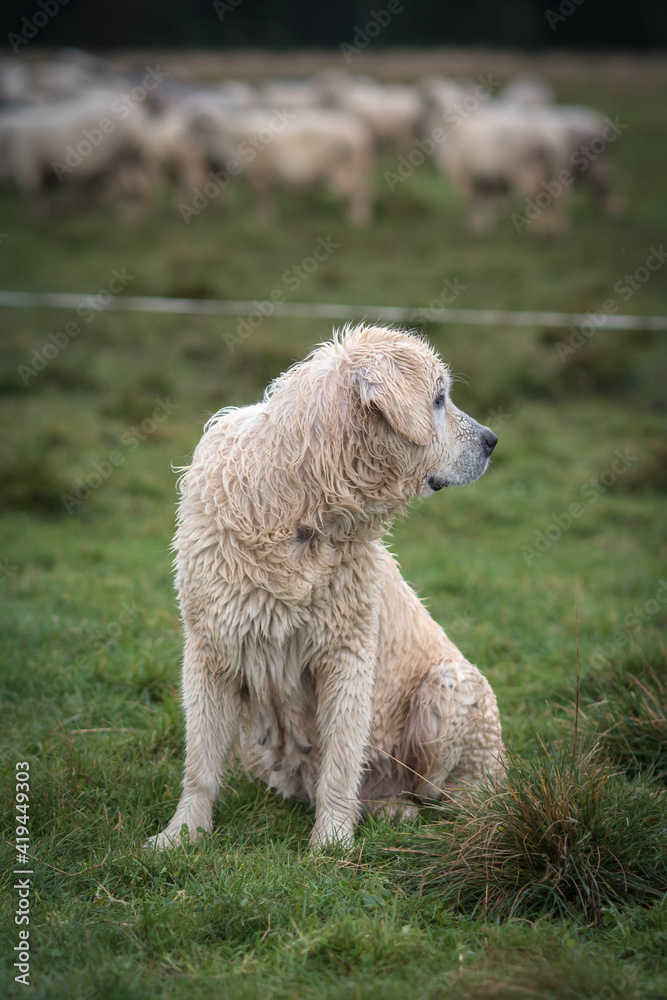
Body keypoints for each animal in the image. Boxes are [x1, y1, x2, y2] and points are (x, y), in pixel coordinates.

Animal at [149, 324, 504, 848]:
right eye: (439, 399)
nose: (492, 440)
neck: (301, 509)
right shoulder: (211, 645)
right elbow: (200, 761)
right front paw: (182, 833)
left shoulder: (346, 652)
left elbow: (340, 758)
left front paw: (332, 840)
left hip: (452, 685)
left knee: (445, 793)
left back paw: (404, 809)